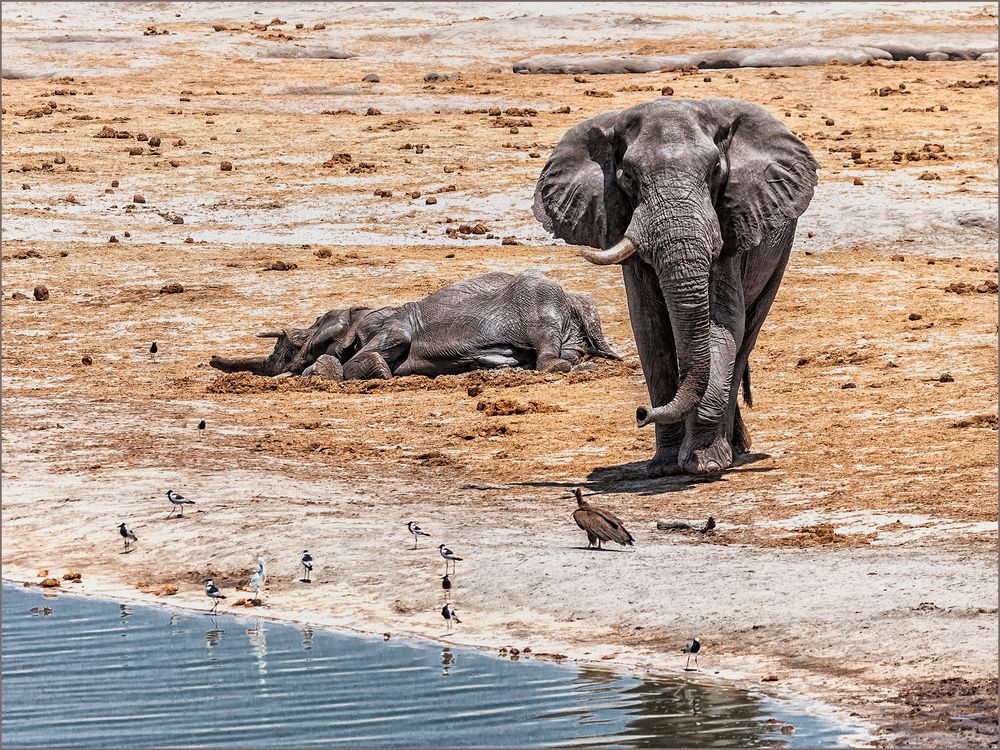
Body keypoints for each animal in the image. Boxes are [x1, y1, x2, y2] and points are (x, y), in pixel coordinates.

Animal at [210, 272, 616, 382]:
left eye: (288, 349)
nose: (211, 358)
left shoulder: (388, 323)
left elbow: (388, 345)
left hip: (538, 307)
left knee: (549, 354)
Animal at [536, 98, 816, 476]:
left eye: (716, 170)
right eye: (628, 176)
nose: (640, 413)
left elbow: (722, 326)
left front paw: (705, 464)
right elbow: (650, 330)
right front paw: (666, 467)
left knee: (747, 335)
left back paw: (734, 450)